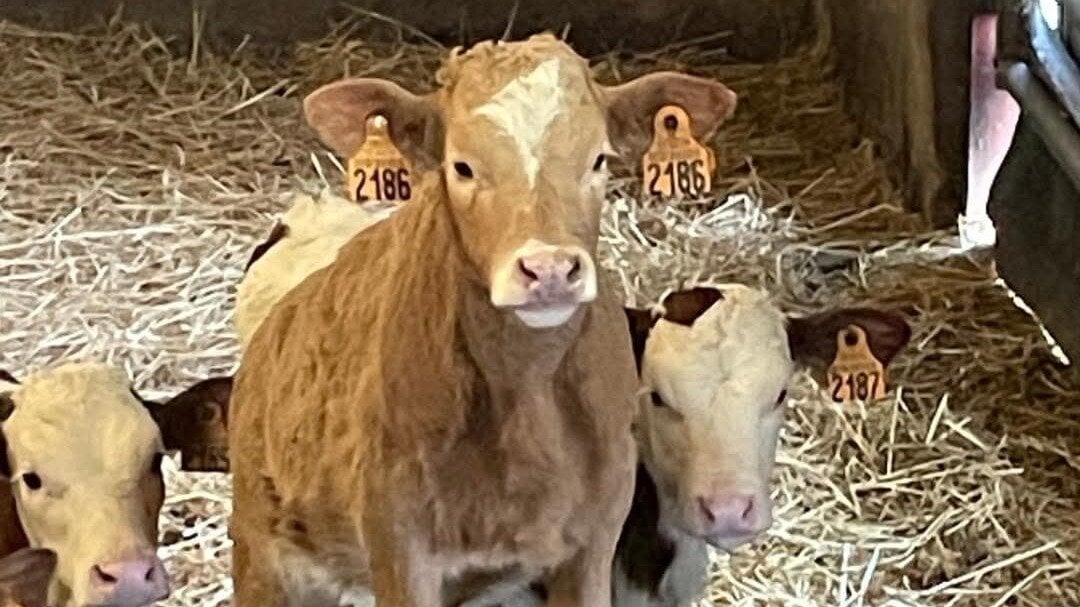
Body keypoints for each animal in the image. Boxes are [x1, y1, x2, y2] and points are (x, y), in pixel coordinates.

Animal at [229, 33, 737, 607]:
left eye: (598, 160)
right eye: (463, 167)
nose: (549, 269)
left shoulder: (596, 538)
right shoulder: (399, 549)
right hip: (261, 555)